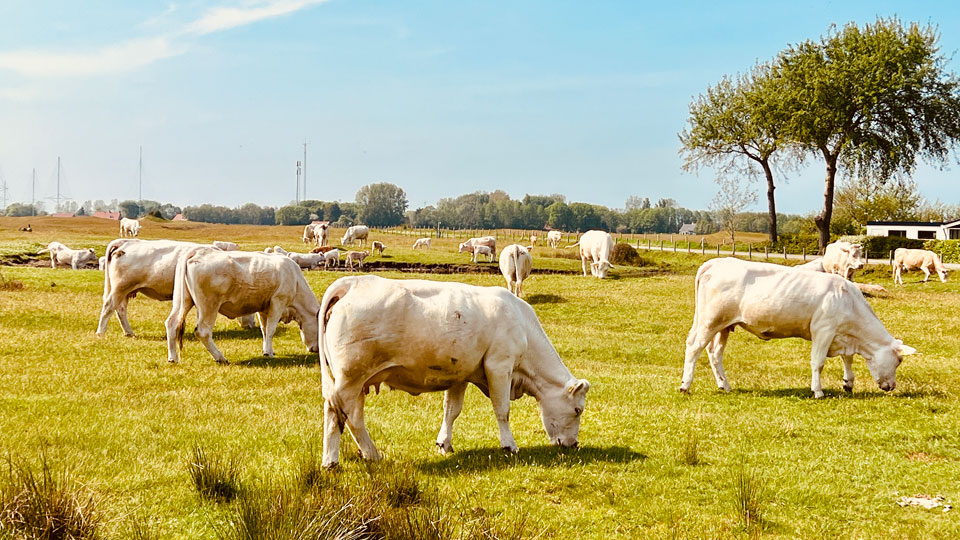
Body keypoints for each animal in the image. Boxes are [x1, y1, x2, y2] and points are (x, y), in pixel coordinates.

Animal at [96, 239, 257, 337]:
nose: (252, 325)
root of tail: (125, 242)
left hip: (125, 291)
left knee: (120, 309)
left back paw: (129, 332)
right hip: (121, 288)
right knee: (109, 306)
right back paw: (100, 333)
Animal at [165, 247, 320, 364]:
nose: (316, 349)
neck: (296, 281)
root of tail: (199, 252)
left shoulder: (264, 307)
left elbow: (264, 329)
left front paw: (266, 350)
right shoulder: (278, 301)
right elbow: (271, 329)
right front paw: (269, 353)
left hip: (183, 300)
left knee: (172, 323)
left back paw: (173, 358)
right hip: (208, 305)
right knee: (203, 331)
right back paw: (220, 358)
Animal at [317, 275, 590, 467]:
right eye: (577, 410)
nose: (573, 444)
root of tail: (352, 282)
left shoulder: (460, 374)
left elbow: (452, 411)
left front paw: (444, 443)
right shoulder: (499, 366)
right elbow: (502, 410)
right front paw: (509, 445)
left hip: (357, 382)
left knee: (353, 417)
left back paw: (372, 455)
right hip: (350, 378)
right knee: (336, 412)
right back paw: (332, 461)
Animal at [681, 258, 916, 398]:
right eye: (899, 360)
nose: (892, 386)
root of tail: (716, 262)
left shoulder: (841, 334)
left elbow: (847, 359)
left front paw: (848, 383)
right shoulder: (823, 330)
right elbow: (818, 362)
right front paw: (818, 391)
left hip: (724, 325)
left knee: (714, 353)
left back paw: (725, 385)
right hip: (709, 321)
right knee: (694, 346)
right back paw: (685, 385)